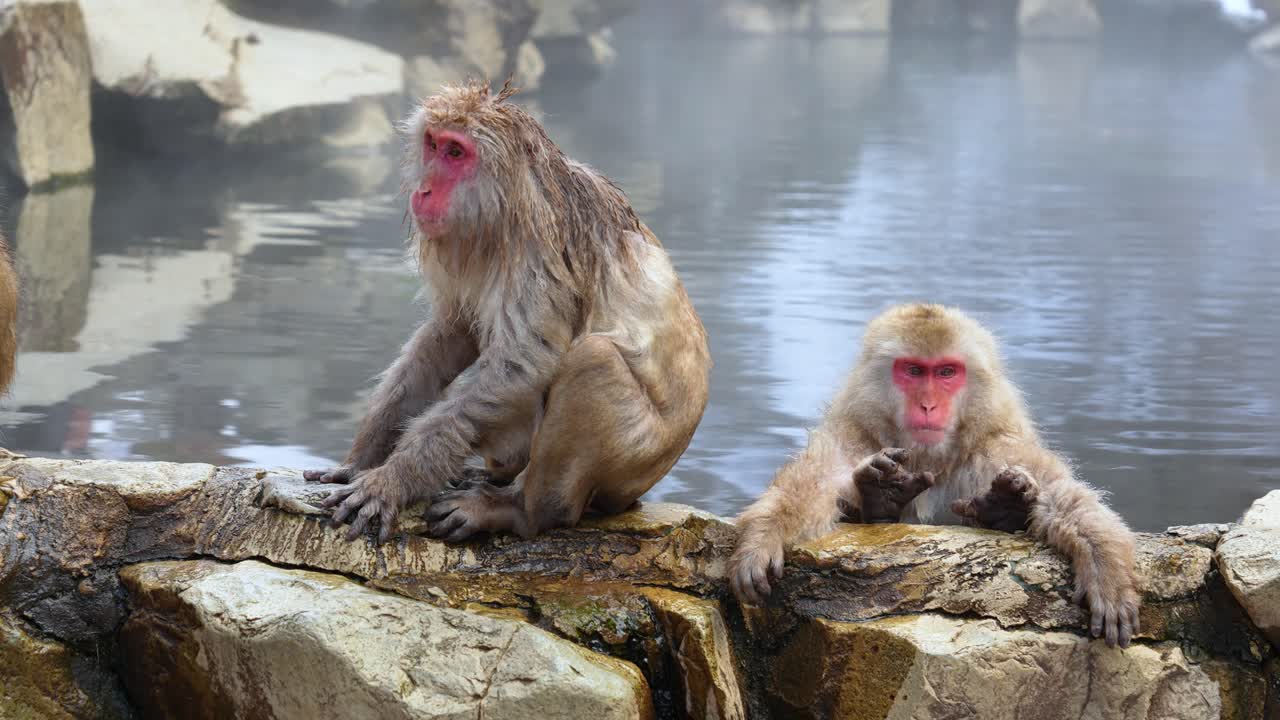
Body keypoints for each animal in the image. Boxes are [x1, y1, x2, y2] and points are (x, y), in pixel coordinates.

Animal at [305, 80, 711, 545]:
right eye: (433, 144)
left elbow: (522, 361)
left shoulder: (537, 250)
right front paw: (364, 459)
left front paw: (395, 479)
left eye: (456, 153)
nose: (424, 191)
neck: (502, 205)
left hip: (634, 464)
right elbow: (452, 333)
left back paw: (522, 510)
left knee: (594, 360)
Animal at [730, 304, 1141, 648]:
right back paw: (884, 495)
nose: (928, 405)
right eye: (914, 371)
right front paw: (763, 537)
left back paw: (1003, 506)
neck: (931, 458)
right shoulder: (856, 435)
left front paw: (1105, 569)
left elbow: (1061, 494)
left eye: (946, 372)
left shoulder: (996, 447)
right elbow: (815, 482)